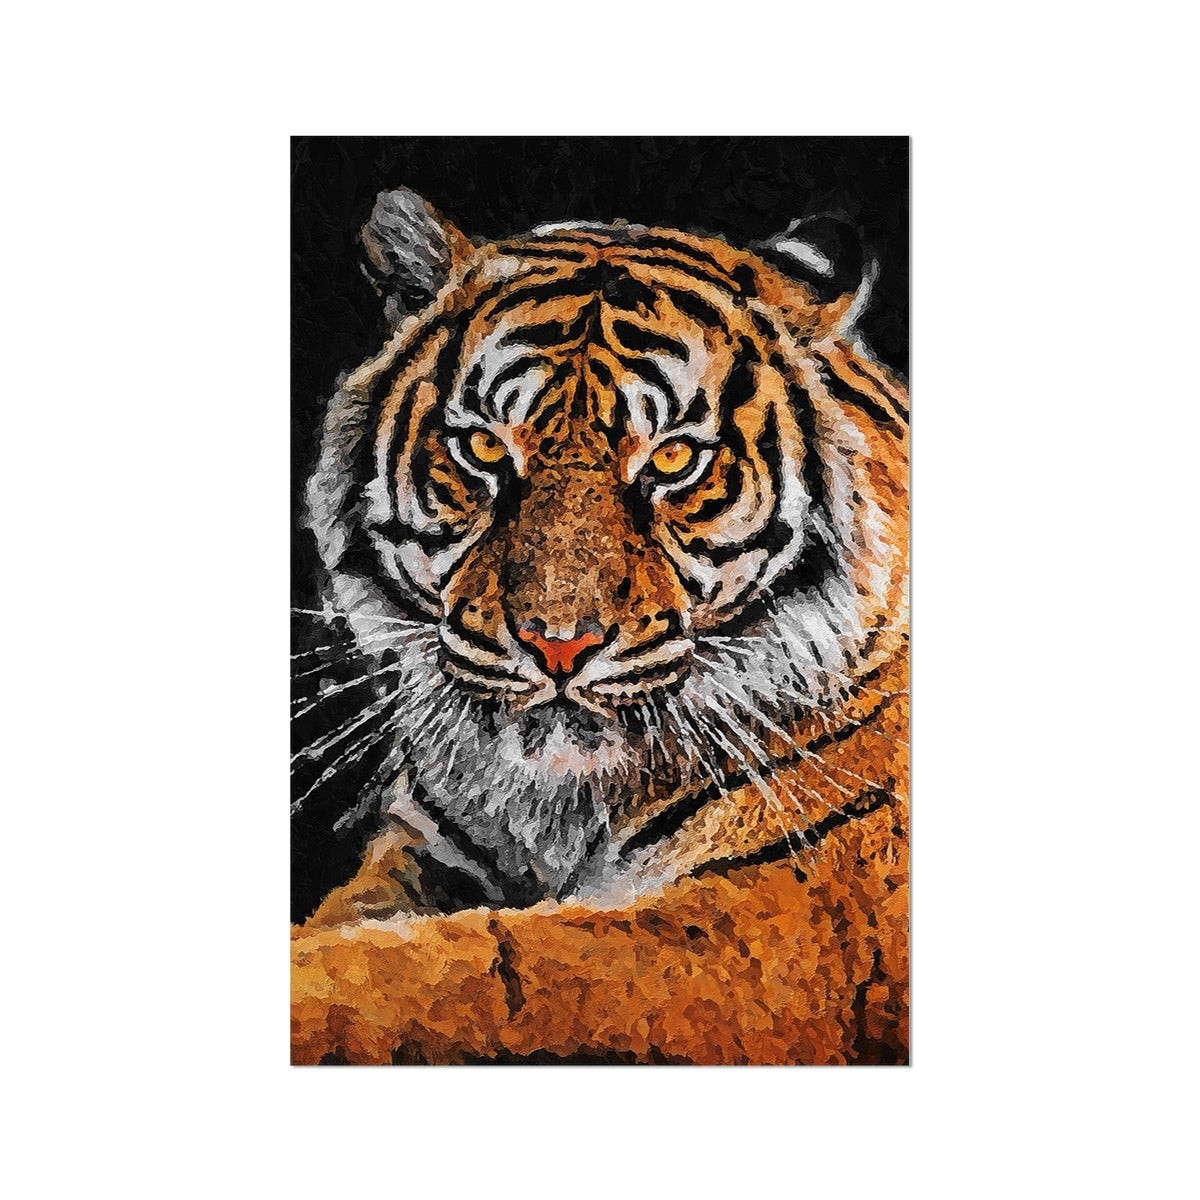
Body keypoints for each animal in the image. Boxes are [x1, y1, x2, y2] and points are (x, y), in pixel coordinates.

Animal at [291, 187, 909, 1065]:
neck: (555, 806)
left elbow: (465, 975)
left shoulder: (754, 925)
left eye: (674, 460)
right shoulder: (419, 850)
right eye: (483, 448)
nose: (559, 645)